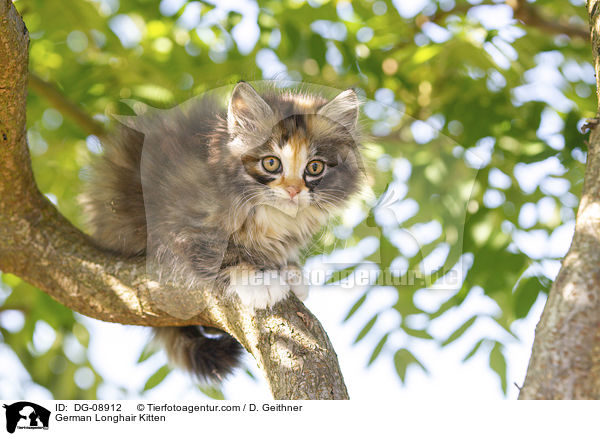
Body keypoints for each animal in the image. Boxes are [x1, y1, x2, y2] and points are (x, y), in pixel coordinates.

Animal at [82, 82, 364, 382]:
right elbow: (223, 253)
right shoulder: (179, 223)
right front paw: (257, 278)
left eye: (314, 167)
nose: (293, 191)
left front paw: (289, 270)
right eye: (271, 163)